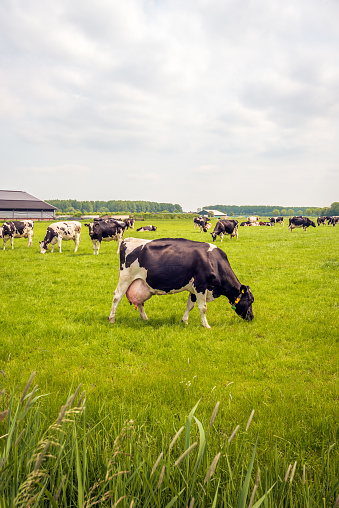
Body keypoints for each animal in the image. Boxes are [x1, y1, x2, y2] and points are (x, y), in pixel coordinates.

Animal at [109, 238, 255, 330]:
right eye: (250, 301)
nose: (252, 317)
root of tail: (127, 240)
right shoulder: (201, 285)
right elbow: (203, 307)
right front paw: (206, 325)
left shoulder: (193, 289)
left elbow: (190, 305)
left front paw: (184, 321)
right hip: (125, 278)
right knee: (117, 297)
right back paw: (111, 319)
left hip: (141, 283)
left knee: (139, 301)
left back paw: (145, 318)